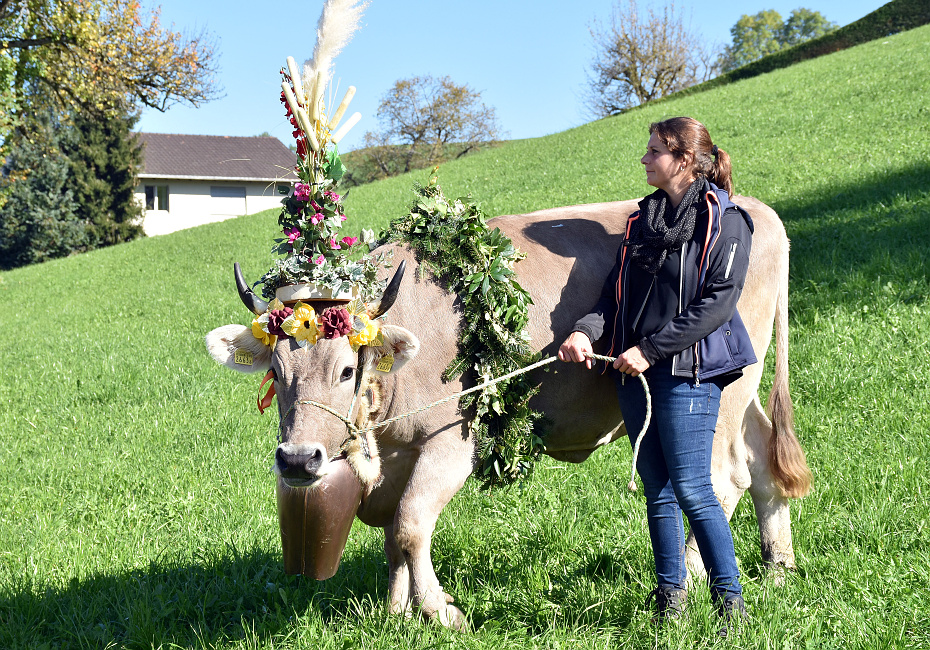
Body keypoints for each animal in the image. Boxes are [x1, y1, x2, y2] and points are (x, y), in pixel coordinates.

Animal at [203, 197, 804, 628]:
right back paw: (778, 566)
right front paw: (398, 612)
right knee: (760, 459)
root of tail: (760, 211)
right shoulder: (396, 456)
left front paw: (439, 610)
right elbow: (393, 535)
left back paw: (699, 578)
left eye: (349, 370)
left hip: (718, 391)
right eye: (277, 371)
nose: (299, 460)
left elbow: (410, 524)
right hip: (743, 384)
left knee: (721, 478)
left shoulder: (451, 441)